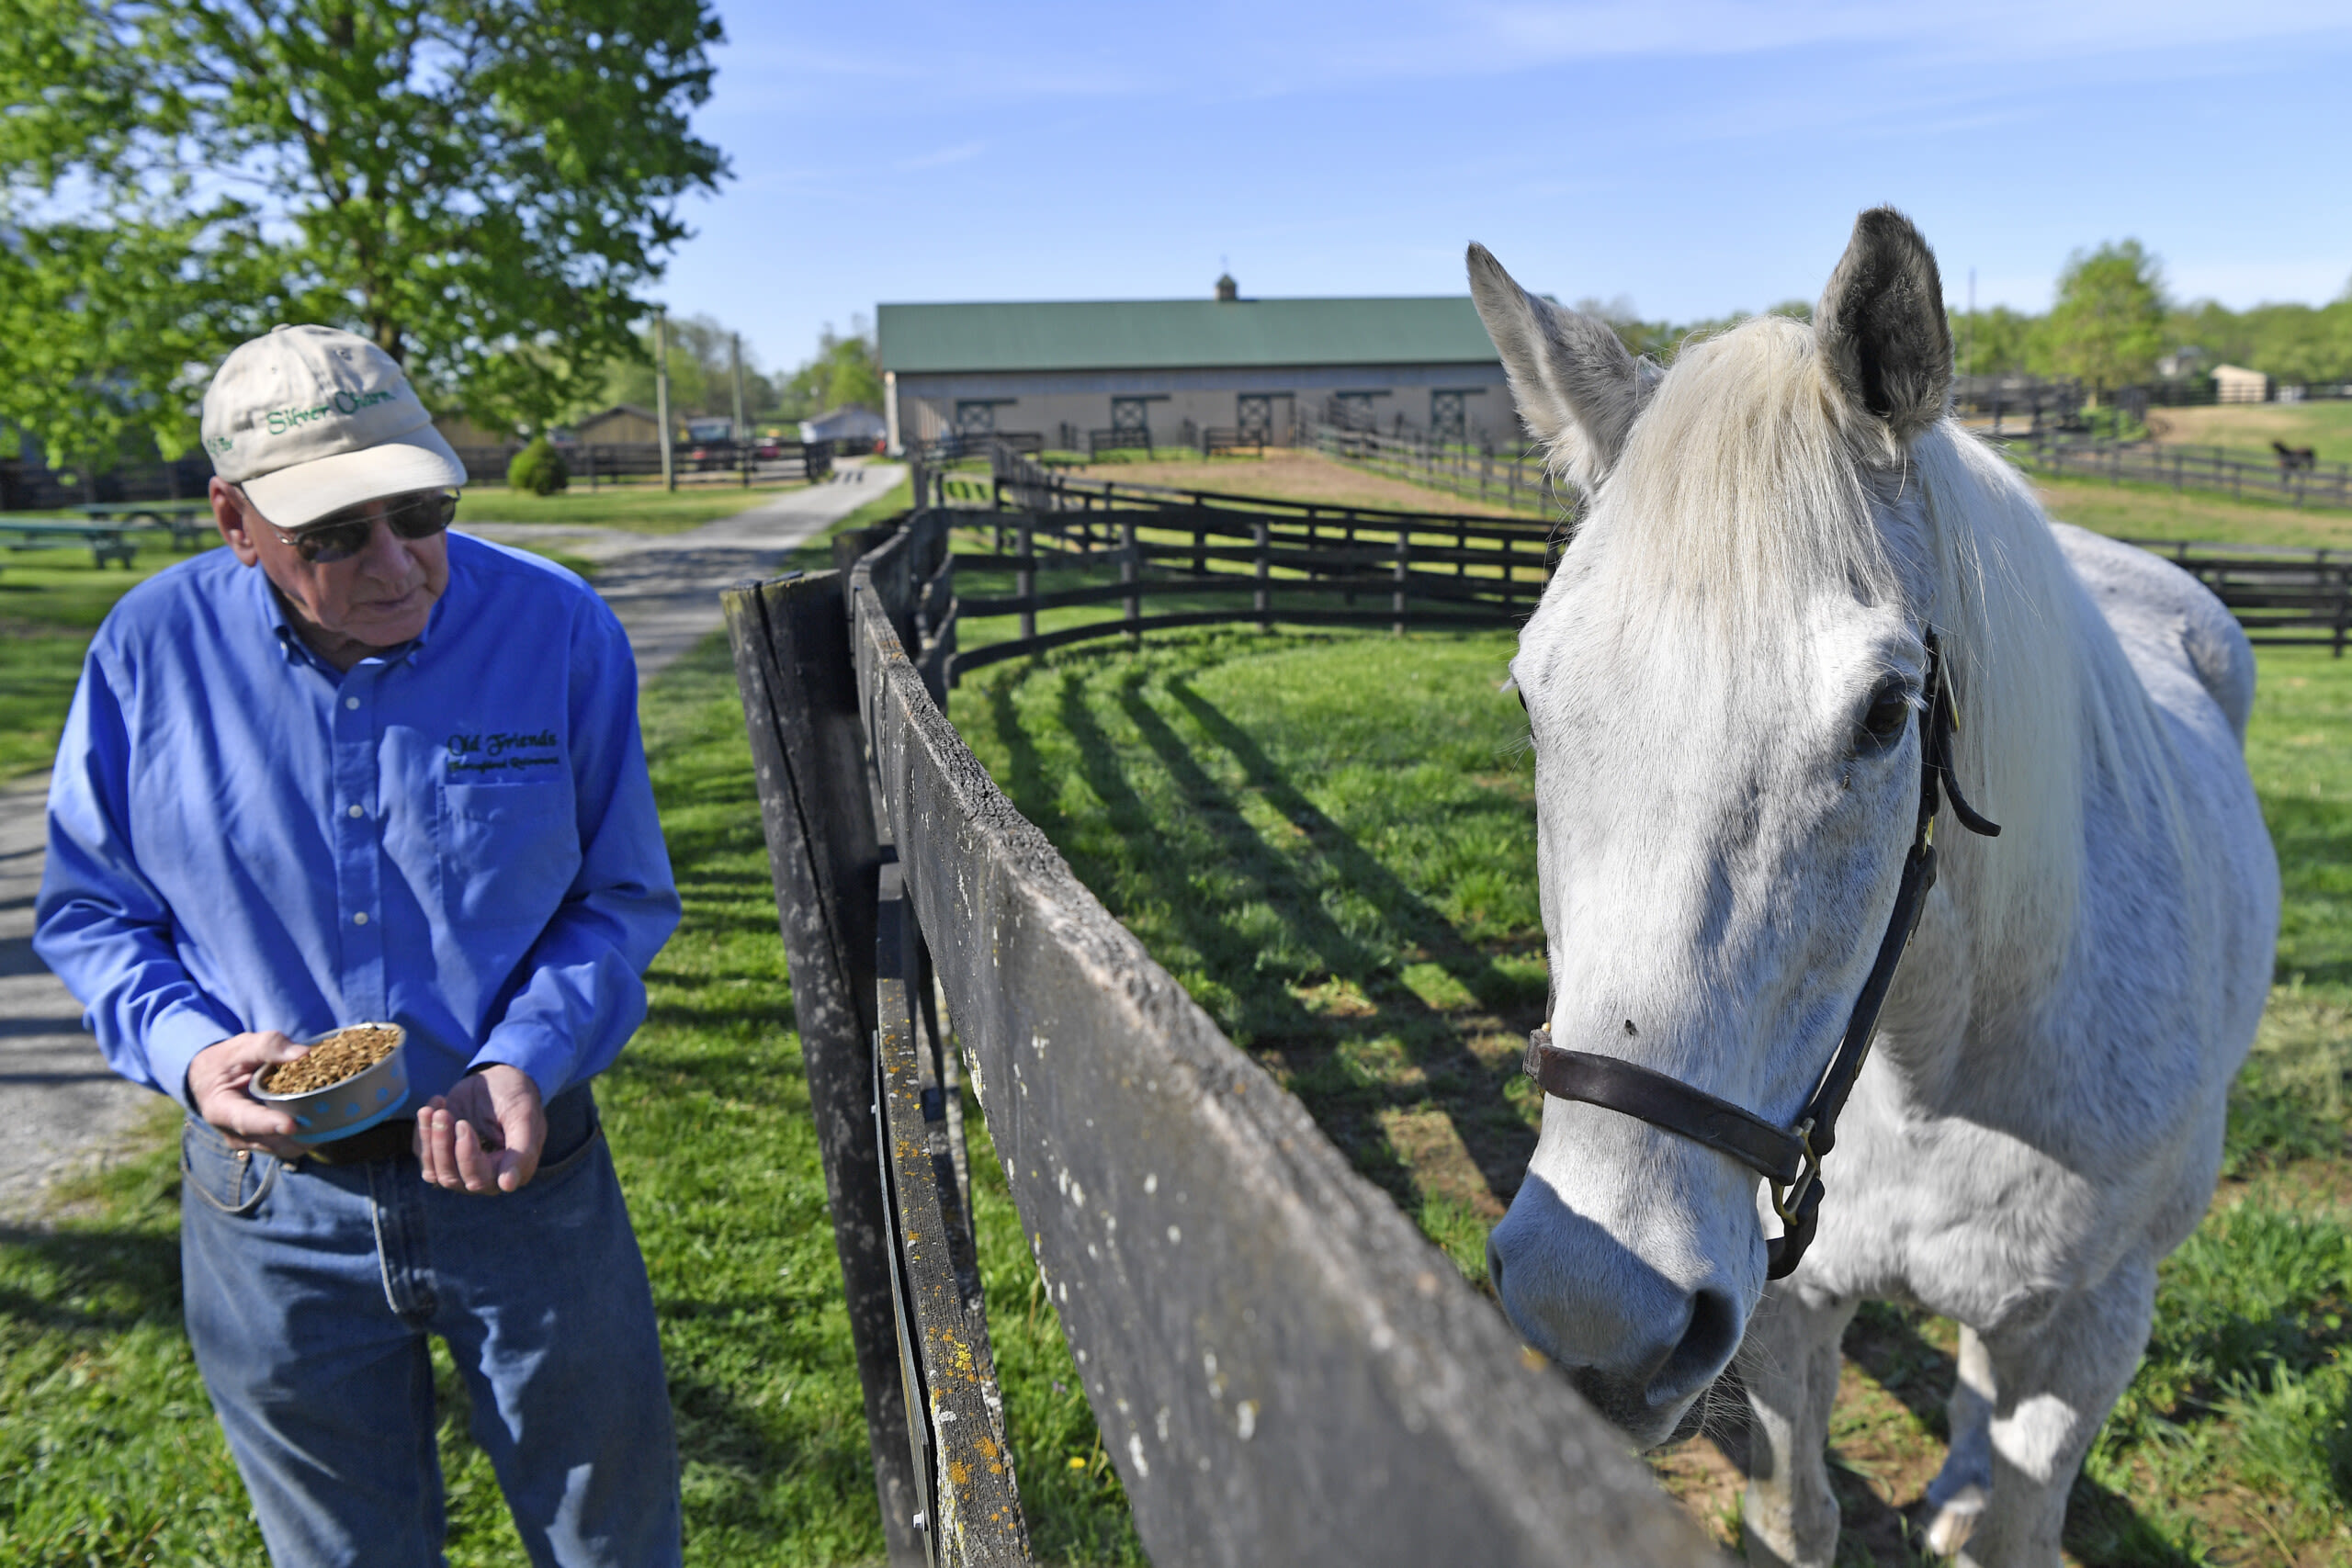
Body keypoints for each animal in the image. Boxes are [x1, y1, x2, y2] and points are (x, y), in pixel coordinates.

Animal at [1467, 211, 2277, 1568]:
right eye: (1531, 698)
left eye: (1888, 715)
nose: (1594, 1311)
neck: (1926, 1068)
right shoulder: (1781, 1307)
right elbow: (1798, 1515)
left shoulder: (2089, 1333)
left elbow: (2017, 1512)